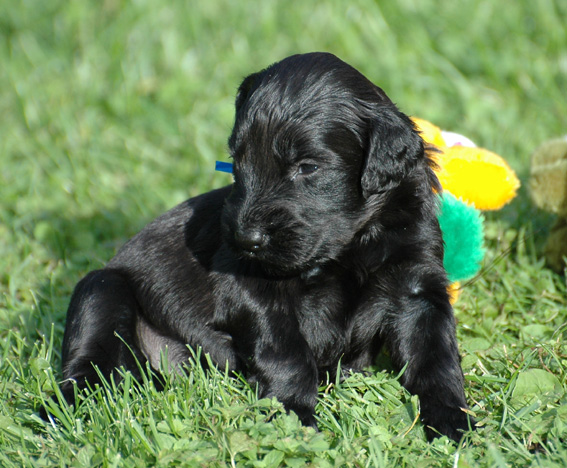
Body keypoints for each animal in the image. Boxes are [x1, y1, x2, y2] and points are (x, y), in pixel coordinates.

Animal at [56, 52, 474, 441]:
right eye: (237, 161)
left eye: (307, 167)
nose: (245, 239)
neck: (352, 245)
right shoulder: (252, 291)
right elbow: (286, 354)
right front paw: (294, 416)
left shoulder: (416, 284)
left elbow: (435, 357)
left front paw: (451, 419)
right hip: (101, 288)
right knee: (88, 363)